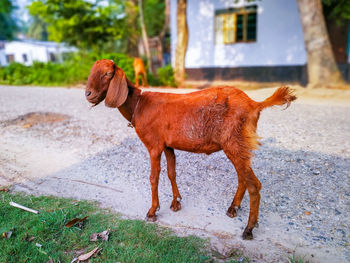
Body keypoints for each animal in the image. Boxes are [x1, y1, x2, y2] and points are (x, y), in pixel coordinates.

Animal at [86, 59, 296, 241]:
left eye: (108, 73)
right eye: (91, 72)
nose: (88, 93)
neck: (139, 105)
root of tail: (255, 104)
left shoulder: (154, 145)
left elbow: (154, 177)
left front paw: (152, 211)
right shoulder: (168, 145)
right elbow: (171, 172)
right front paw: (176, 203)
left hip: (234, 141)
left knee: (254, 184)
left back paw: (248, 228)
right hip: (238, 144)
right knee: (243, 177)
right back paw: (233, 208)